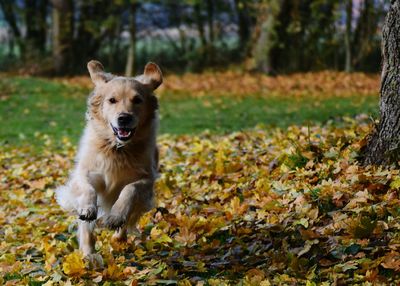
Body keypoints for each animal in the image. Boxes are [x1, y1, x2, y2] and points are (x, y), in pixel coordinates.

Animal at [55, 59, 162, 256]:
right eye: (112, 100)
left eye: (137, 100)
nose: (124, 118)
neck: (117, 148)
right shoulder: (86, 172)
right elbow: (88, 190)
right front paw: (88, 208)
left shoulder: (147, 180)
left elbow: (129, 189)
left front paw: (116, 216)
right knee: (87, 228)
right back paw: (88, 255)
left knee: (126, 223)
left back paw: (118, 237)